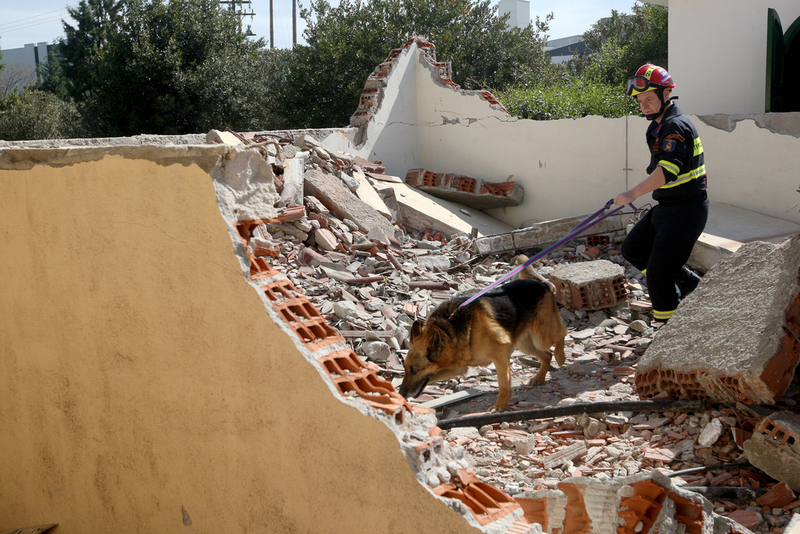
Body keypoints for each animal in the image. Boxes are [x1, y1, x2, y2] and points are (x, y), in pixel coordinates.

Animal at [396, 260, 564, 414]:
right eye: (405, 368)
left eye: (415, 370)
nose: (402, 393)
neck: (451, 329)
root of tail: (543, 284)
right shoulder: (458, 368)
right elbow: (434, 375)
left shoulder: (500, 358)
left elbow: (504, 385)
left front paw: (500, 405)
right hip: (525, 345)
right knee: (547, 355)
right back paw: (540, 377)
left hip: (542, 337)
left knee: (562, 333)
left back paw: (560, 356)